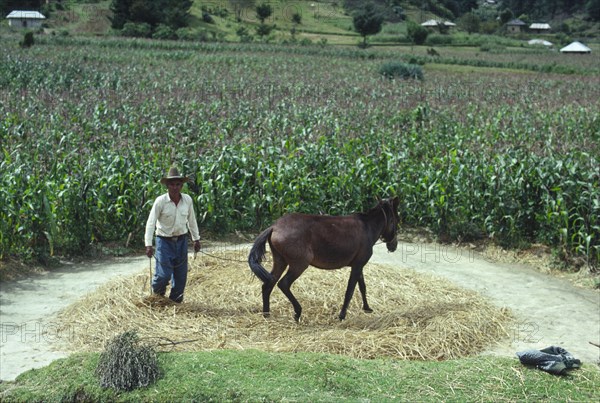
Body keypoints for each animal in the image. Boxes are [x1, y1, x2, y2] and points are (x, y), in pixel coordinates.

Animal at [246, 198, 400, 322]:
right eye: (396, 221)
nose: (394, 246)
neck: (367, 226)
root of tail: (274, 227)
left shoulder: (358, 265)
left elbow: (362, 287)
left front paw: (367, 308)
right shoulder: (357, 266)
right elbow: (350, 291)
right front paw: (342, 316)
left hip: (280, 261)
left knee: (268, 284)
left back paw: (266, 313)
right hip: (299, 264)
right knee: (283, 284)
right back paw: (297, 312)